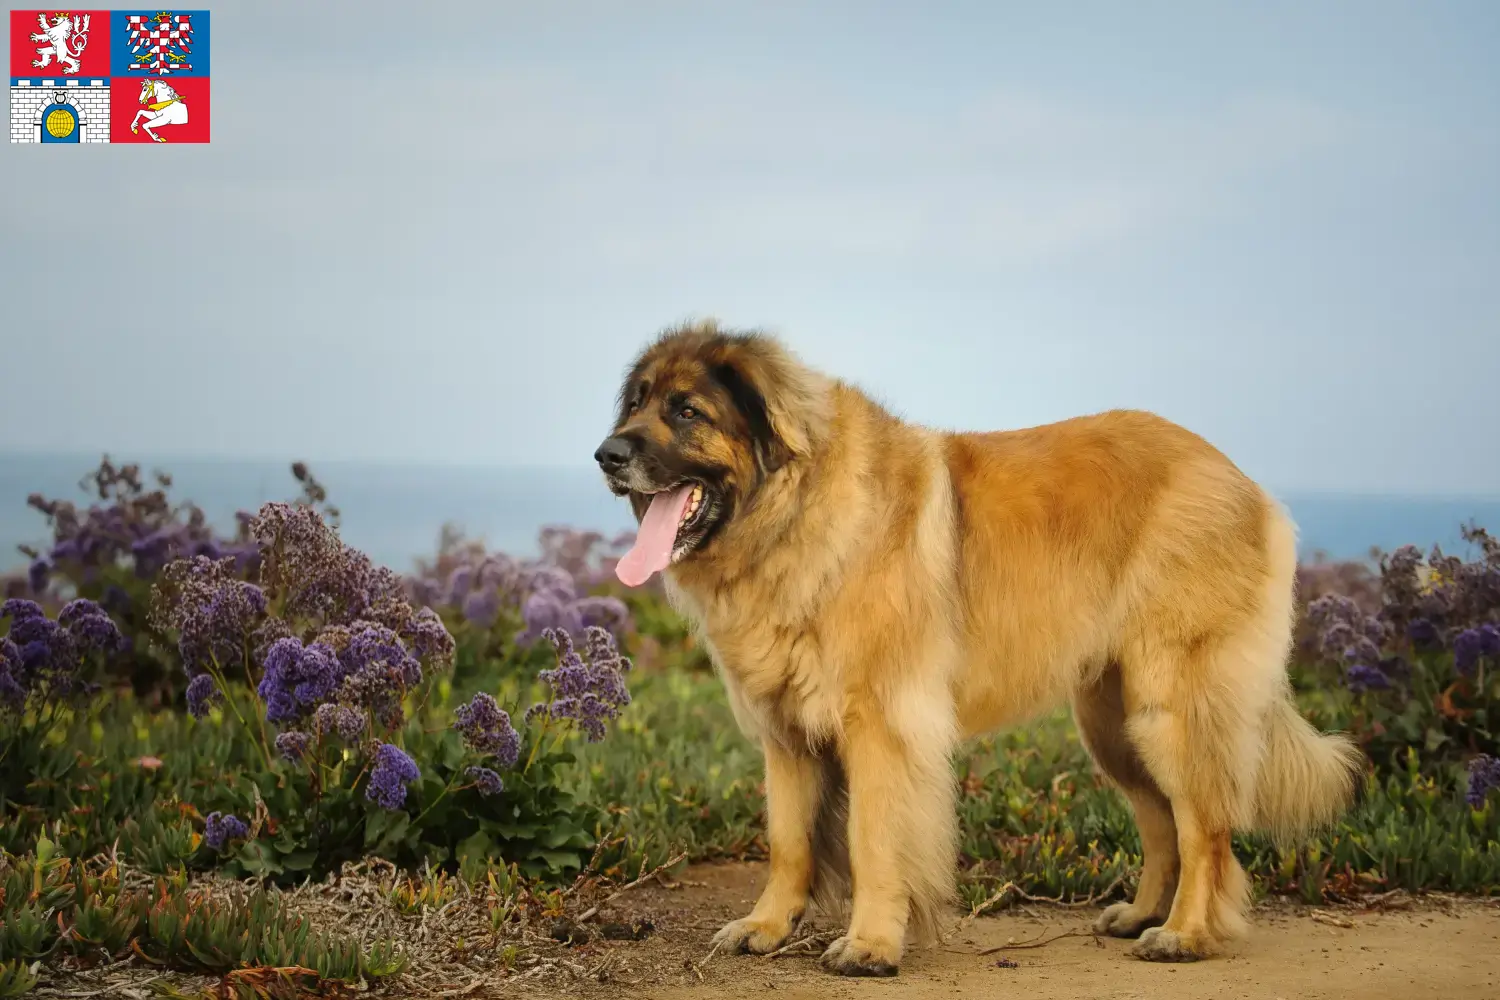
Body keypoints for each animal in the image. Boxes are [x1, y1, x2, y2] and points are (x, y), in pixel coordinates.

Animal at [594, 320, 1362, 977]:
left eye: (687, 411)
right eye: (636, 404)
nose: (608, 454)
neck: (794, 513)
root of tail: (1241, 481)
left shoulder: (882, 725)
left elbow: (874, 840)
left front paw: (871, 944)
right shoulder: (785, 733)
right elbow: (787, 842)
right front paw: (767, 926)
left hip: (1170, 709)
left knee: (1204, 827)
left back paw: (1186, 934)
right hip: (1113, 723)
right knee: (1161, 821)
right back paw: (1142, 915)